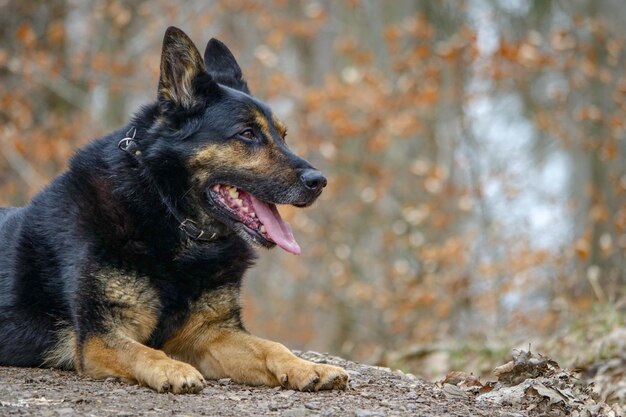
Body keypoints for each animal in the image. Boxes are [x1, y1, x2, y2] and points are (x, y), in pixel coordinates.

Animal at [0, 26, 346, 394]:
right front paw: (171, 369)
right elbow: (142, 351)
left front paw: (306, 366)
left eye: (282, 136)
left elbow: (271, 346)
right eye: (247, 134)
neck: (167, 212)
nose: (319, 181)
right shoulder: (99, 337)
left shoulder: (211, 334)